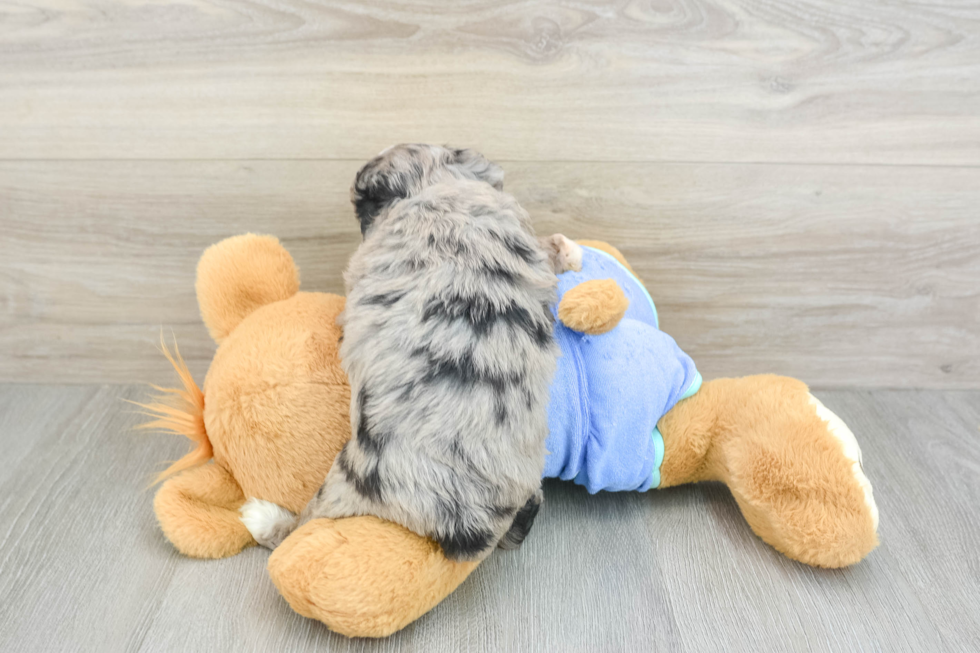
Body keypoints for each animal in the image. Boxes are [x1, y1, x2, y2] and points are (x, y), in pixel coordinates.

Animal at [241, 144, 580, 560]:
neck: (438, 184)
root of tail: (471, 525)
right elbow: (548, 250)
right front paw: (566, 251)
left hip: (344, 484)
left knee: (299, 527)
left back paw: (264, 519)